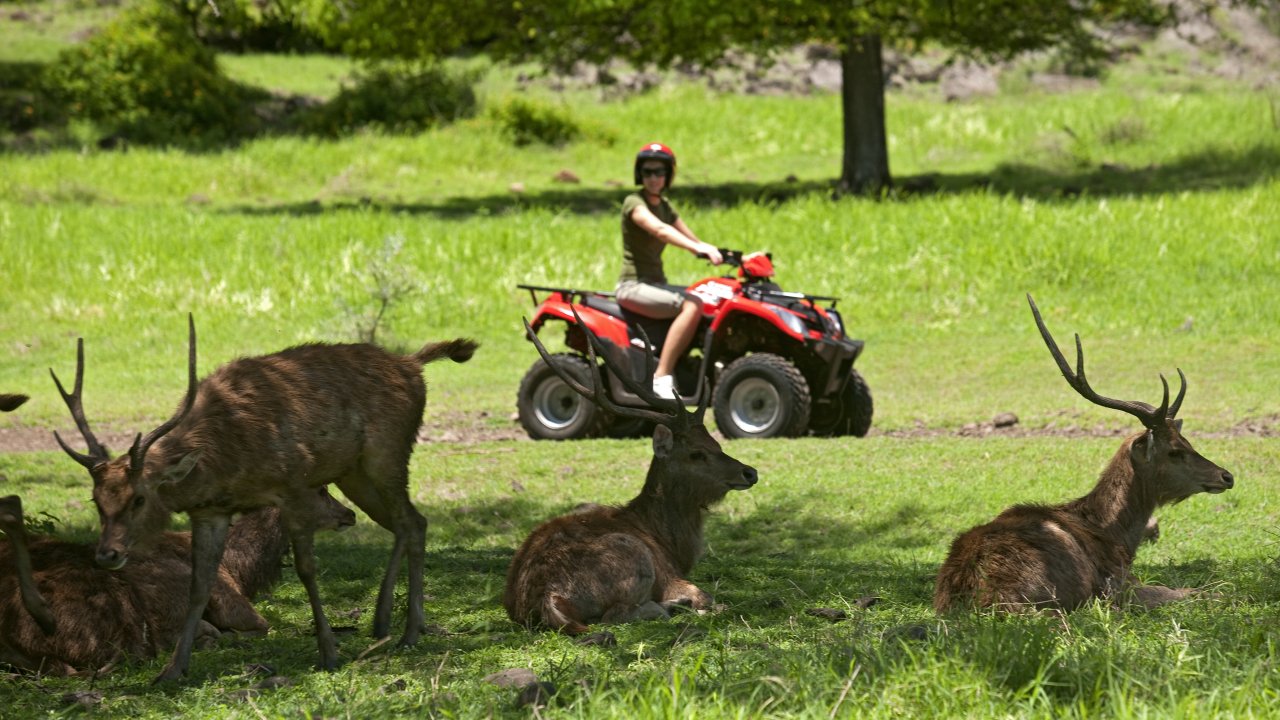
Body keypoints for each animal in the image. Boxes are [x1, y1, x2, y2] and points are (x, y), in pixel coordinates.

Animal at [48, 316, 481, 676]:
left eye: (139, 498)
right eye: (96, 500)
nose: (108, 554)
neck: (227, 462)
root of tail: (413, 364)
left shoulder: (294, 486)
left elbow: (306, 569)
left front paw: (329, 652)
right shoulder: (210, 511)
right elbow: (200, 584)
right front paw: (173, 671)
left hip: (387, 454)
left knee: (413, 521)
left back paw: (407, 631)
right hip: (353, 474)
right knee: (409, 523)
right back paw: (384, 622)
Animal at [501, 316, 757, 630]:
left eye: (716, 444)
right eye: (697, 453)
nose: (750, 473)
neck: (670, 544)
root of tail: (549, 599)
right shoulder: (668, 575)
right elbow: (707, 596)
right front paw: (695, 604)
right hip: (632, 555)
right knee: (616, 615)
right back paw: (674, 607)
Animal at [936, 294, 1233, 607]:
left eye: (1188, 441)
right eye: (1175, 450)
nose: (1226, 476)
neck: (1117, 538)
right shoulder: (1118, 585)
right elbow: (1190, 591)